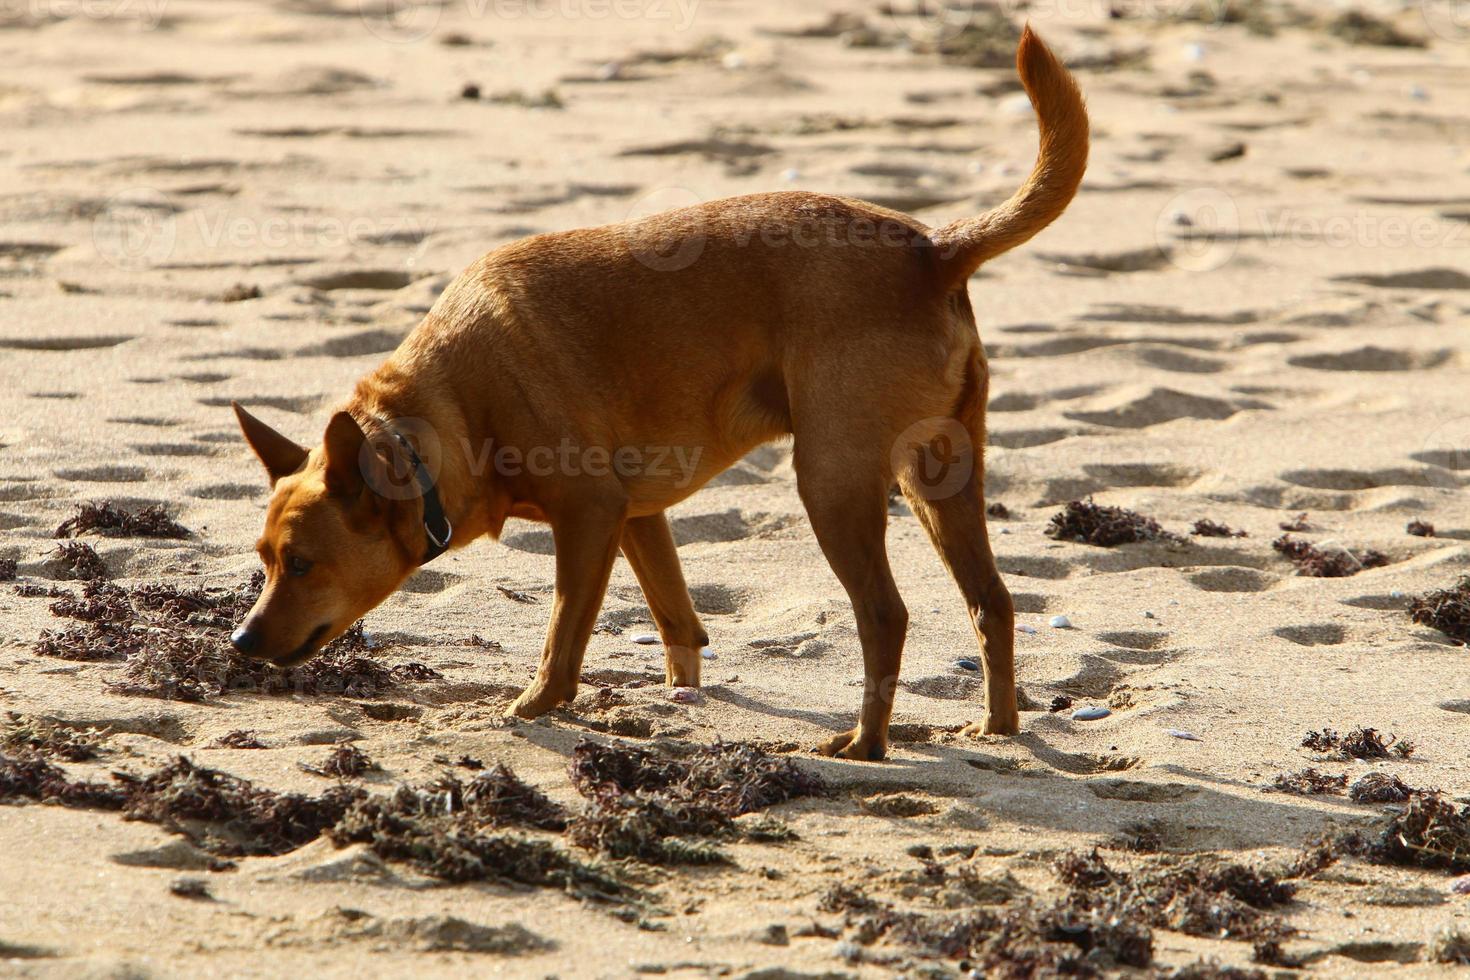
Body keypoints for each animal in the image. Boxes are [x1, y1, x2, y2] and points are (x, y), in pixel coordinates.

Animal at [226, 28, 1081, 758]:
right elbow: (679, 623)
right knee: (993, 601)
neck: (442, 412)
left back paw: (867, 745)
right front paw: (681, 698)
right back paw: (999, 728)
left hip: (833, 483)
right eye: (263, 562)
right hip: (940, 479)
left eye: (300, 565)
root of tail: (933, 249)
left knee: (885, 614)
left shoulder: (590, 516)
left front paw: (533, 706)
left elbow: (563, 636)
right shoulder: (637, 518)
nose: (240, 642)